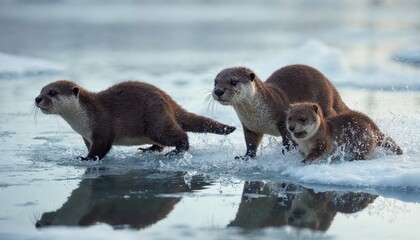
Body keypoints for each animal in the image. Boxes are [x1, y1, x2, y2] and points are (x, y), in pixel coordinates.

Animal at [35, 79, 236, 160]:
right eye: (41, 90)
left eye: (52, 92)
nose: (37, 99)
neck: (82, 120)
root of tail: (168, 100)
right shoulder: (86, 136)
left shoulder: (101, 126)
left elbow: (101, 148)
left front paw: (85, 158)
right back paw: (148, 149)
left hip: (156, 122)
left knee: (181, 136)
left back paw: (175, 152)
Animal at [212, 63, 350, 159]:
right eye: (215, 82)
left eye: (234, 81)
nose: (218, 91)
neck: (259, 116)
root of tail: (331, 86)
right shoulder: (250, 127)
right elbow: (250, 143)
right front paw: (245, 157)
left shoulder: (283, 119)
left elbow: (288, 140)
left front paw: (286, 154)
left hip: (325, 103)